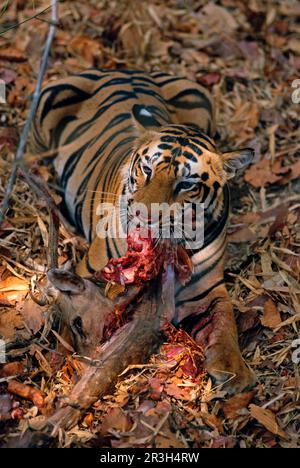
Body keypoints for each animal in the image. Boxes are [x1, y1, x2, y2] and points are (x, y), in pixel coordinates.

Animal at [31, 67, 255, 394]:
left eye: (186, 184)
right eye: (147, 170)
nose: (142, 215)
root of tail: (124, 70)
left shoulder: (210, 291)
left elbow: (226, 323)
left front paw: (233, 371)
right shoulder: (90, 273)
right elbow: (76, 314)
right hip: (49, 97)